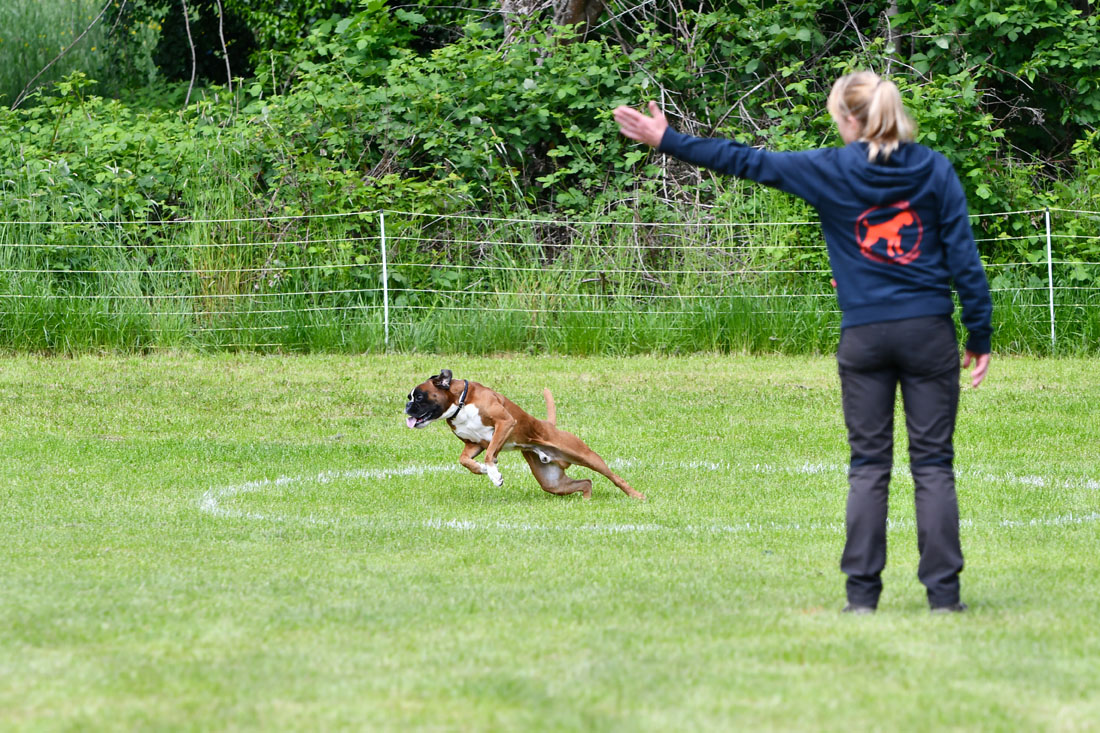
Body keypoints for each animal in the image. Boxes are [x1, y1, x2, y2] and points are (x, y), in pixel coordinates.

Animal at [404, 367, 642, 499]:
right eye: (410, 397)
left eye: (420, 397)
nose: (407, 407)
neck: (461, 402)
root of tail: (549, 425)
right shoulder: (474, 444)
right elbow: (464, 460)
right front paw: (481, 469)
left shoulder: (505, 423)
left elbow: (491, 454)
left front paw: (494, 475)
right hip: (552, 482)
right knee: (586, 482)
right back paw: (587, 500)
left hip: (585, 455)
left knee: (614, 478)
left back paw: (637, 495)